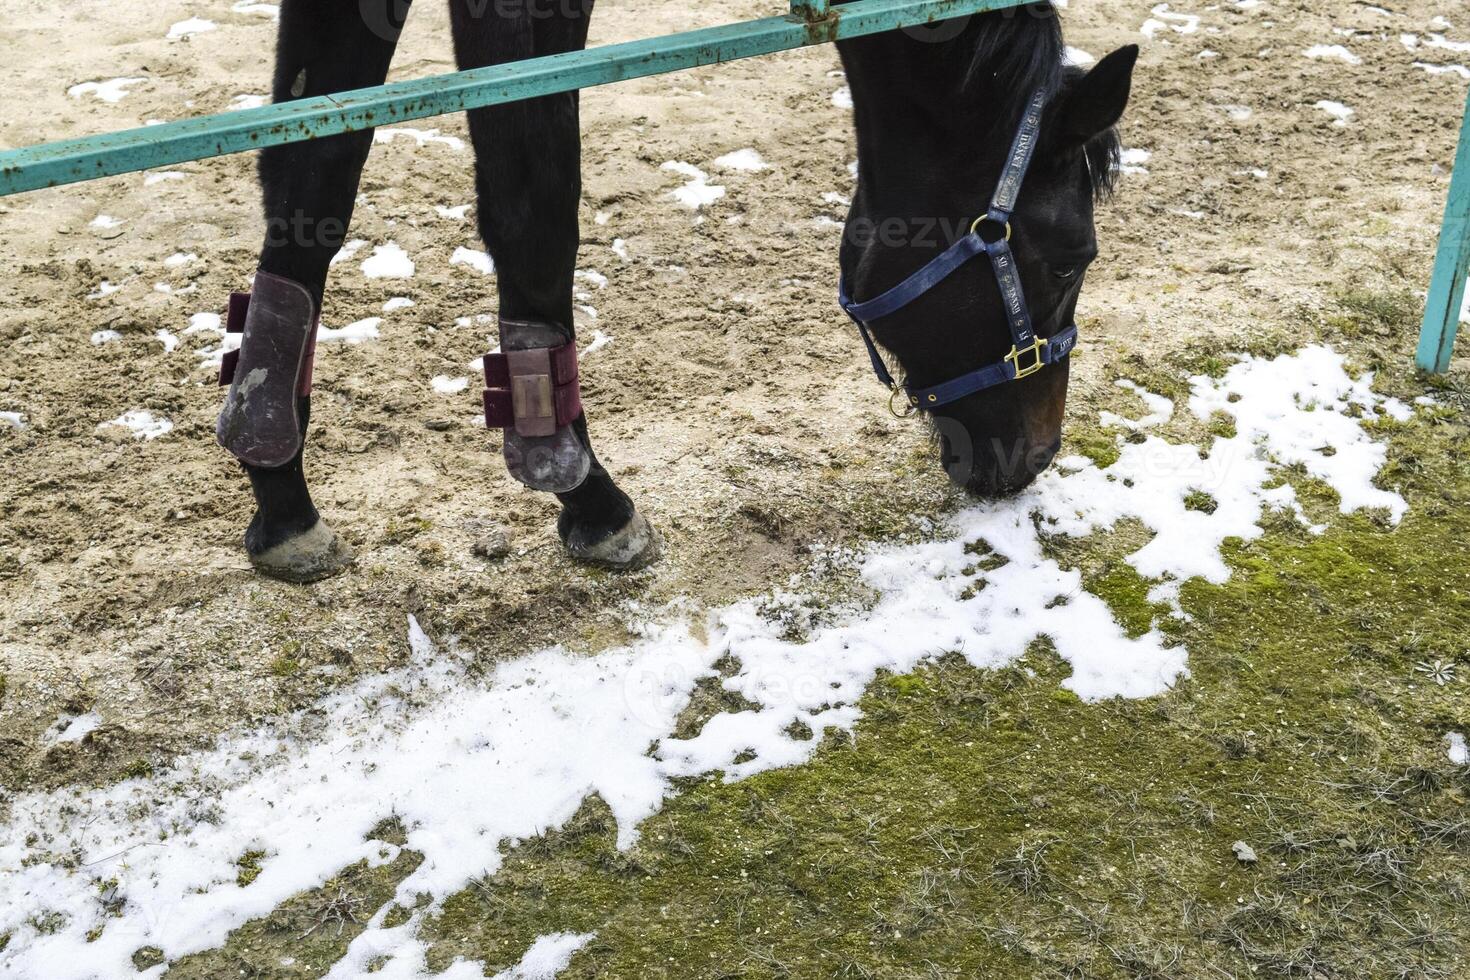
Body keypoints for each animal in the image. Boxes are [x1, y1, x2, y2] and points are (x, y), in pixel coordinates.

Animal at [214, 0, 1134, 581]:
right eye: (1070, 259)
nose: (1035, 457)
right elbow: (533, 201)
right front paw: (584, 491)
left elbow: (313, 170)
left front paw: (279, 487)